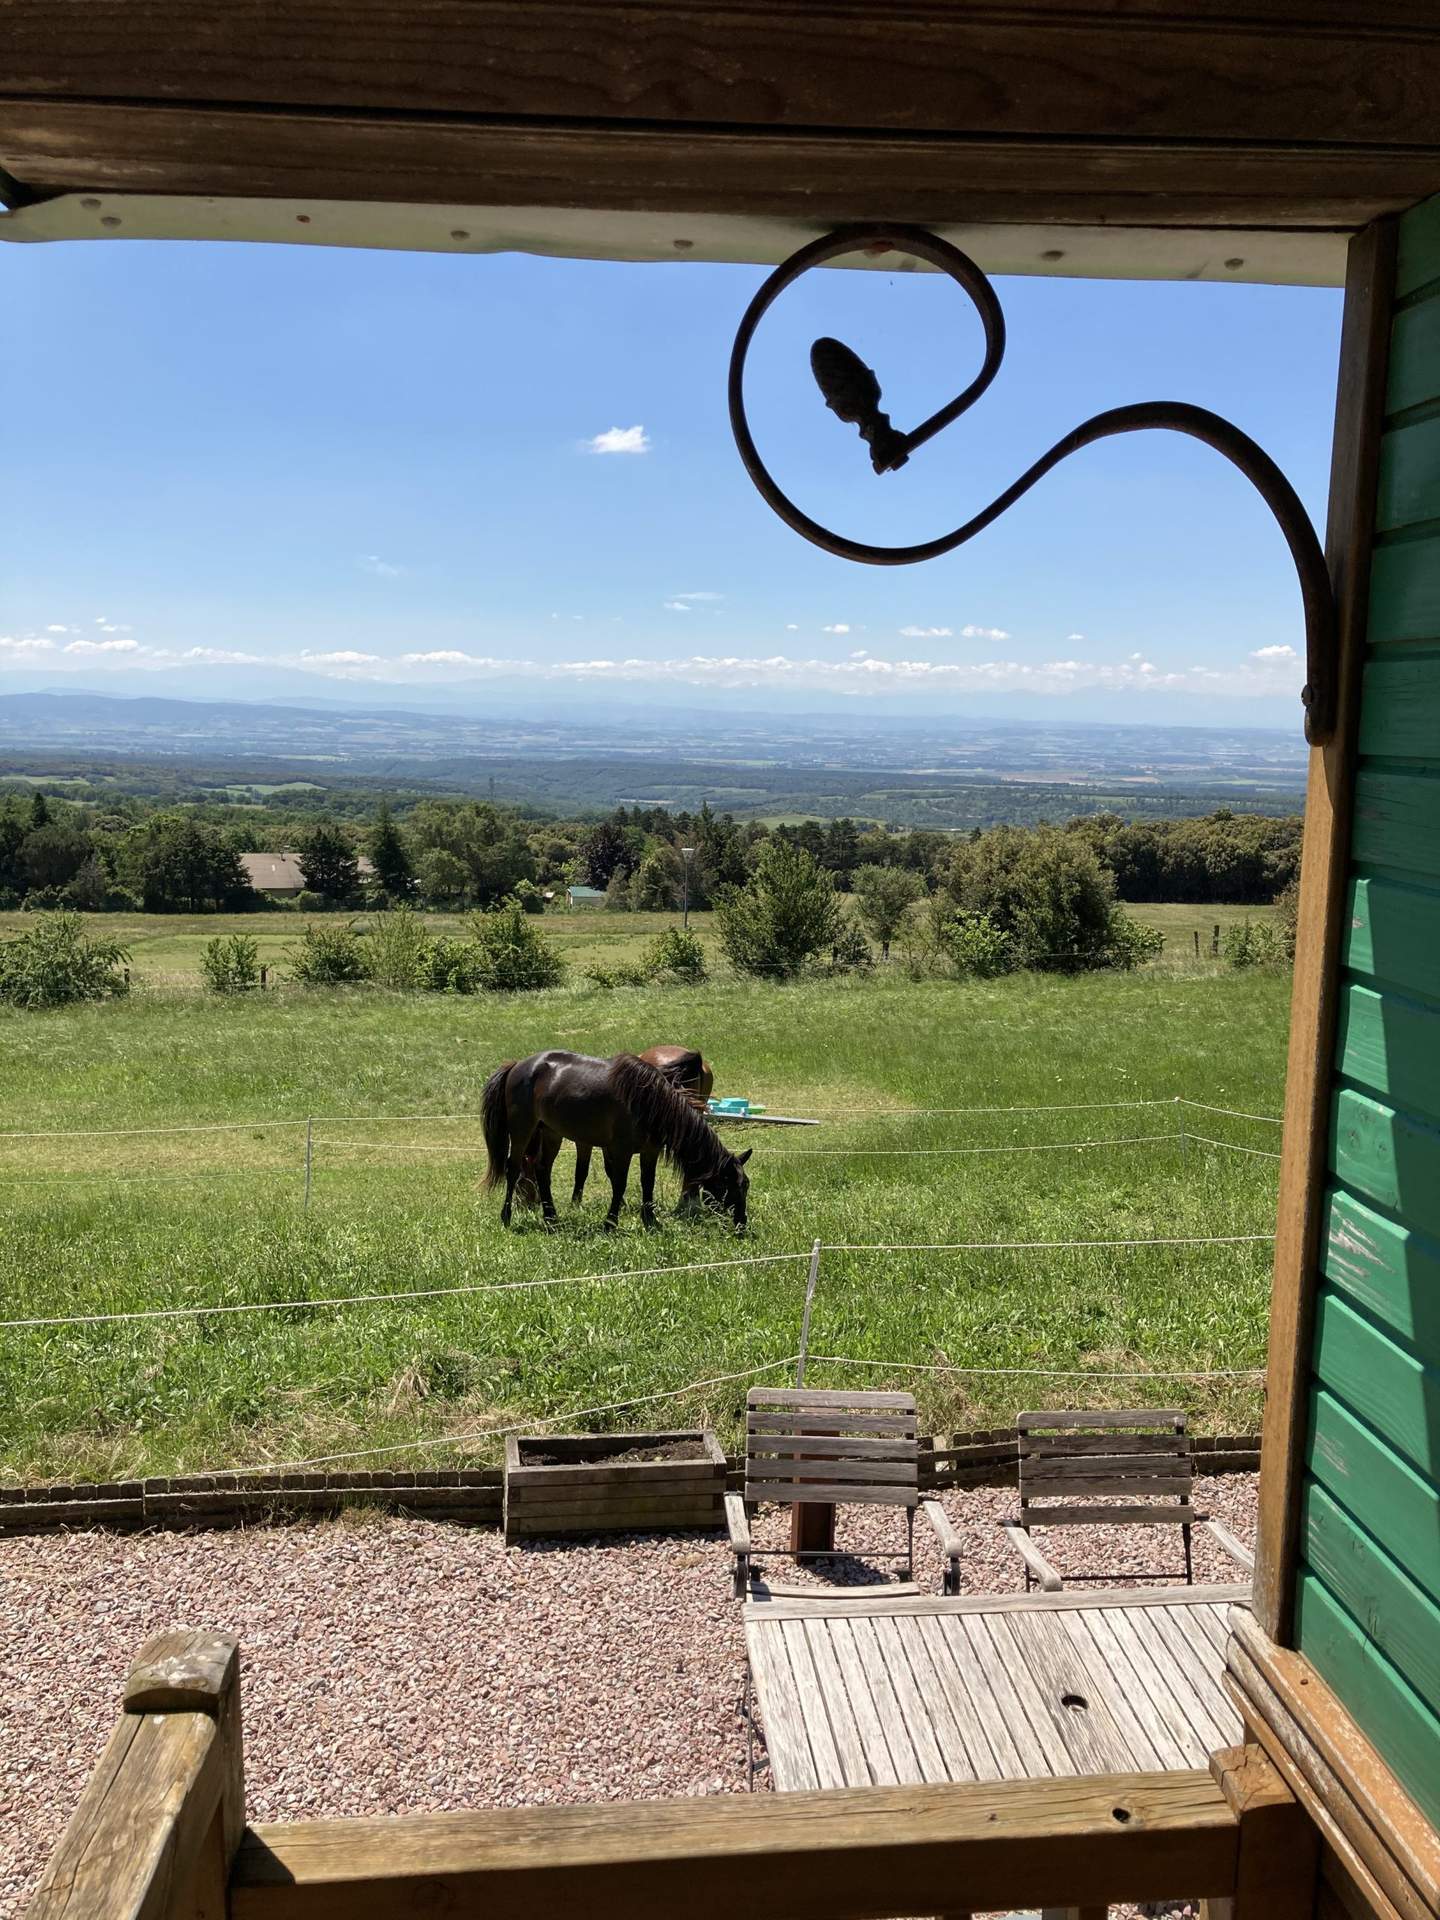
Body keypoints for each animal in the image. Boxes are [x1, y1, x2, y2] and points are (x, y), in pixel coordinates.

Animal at [482, 1050, 750, 1232]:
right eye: (729, 1185)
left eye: (745, 1185)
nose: (742, 1224)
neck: (647, 1100)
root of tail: (518, 1066)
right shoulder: (620, 1150)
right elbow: (618, 1184)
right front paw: (610, 1222)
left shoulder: (650, 1150)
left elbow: (647, 1183)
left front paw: (650, 1220)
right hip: (522, 1130)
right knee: (513, 1168)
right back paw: (507, 1216)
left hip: (551, 1132)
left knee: (542, 1170)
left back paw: (551, 1218)